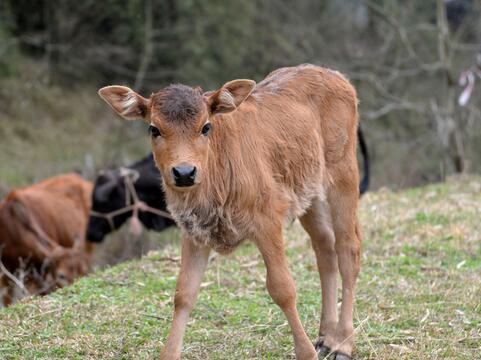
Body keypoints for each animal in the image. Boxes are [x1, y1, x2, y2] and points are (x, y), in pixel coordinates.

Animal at [101, 63, 362, 358]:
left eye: (205, 127)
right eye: (154, 129)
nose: (184, 172)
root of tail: (336, 75)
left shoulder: (267, 220)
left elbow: (283, 288)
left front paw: (305, 352)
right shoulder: (193, 232)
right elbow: (184, 293)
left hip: (343, 174)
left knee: (348, 249)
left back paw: (343, 342)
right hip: (309, 193)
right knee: (324, 248)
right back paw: (326, 336)